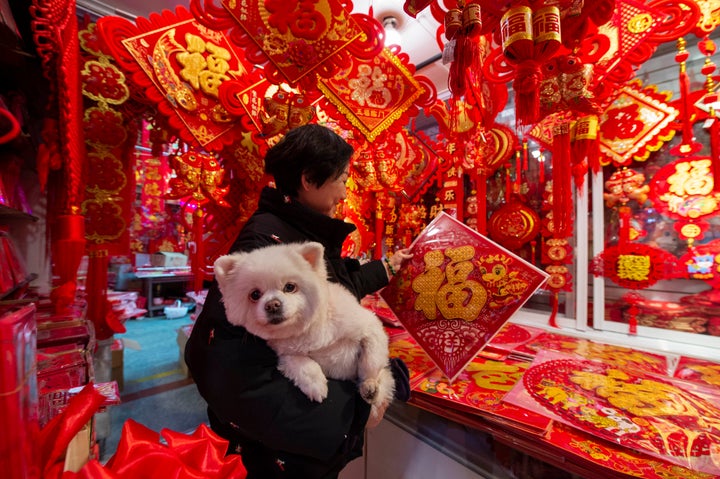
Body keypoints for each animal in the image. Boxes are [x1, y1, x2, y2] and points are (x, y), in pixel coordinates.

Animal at [214, 242, 396, 418]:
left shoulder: (370, 327)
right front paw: (316, 384)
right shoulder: (287, 354)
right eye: (255, 295)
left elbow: (371, 361)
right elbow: (303, 364)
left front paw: (369, 383)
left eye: (290, 287)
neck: (305, 331)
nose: (272, 305)